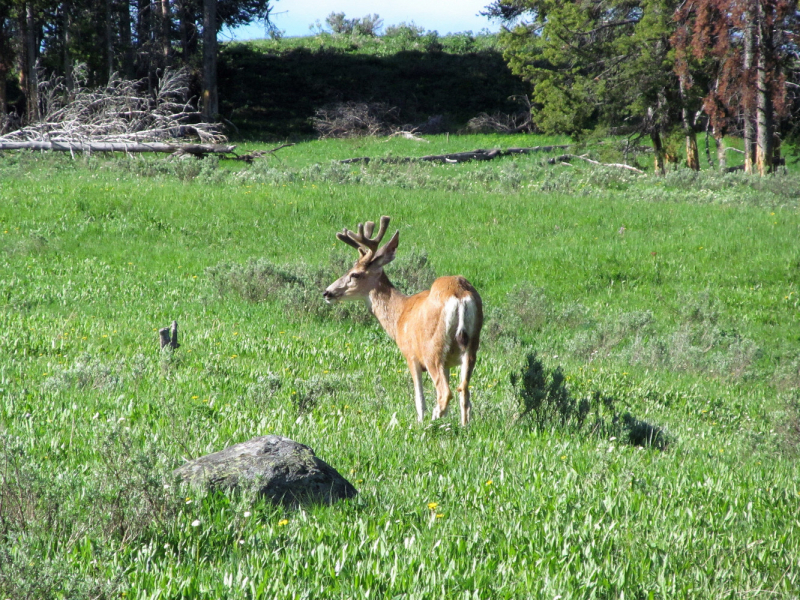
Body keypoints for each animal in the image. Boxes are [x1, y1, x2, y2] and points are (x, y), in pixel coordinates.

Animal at [324, 216, 484, 426]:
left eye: (354, 274)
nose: (327, 292)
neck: (399, 315)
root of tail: (459, 294)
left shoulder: (410, 354)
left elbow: (419, 400)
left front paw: (420, 422)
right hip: (470, 346)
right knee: (464, 391)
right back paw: (464, 427)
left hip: (432, 350)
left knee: (444, 393)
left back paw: (433, 422)